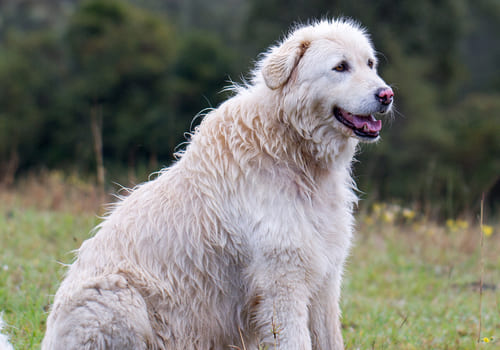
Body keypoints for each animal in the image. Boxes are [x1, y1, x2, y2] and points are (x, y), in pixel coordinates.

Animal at [43, 19, 392, 350]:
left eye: (370, 64)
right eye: (341, 67)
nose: (386, 95)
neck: (292, 148)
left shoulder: (325, 279)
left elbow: (329, 337)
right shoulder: (283, 281)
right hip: (118, 296)